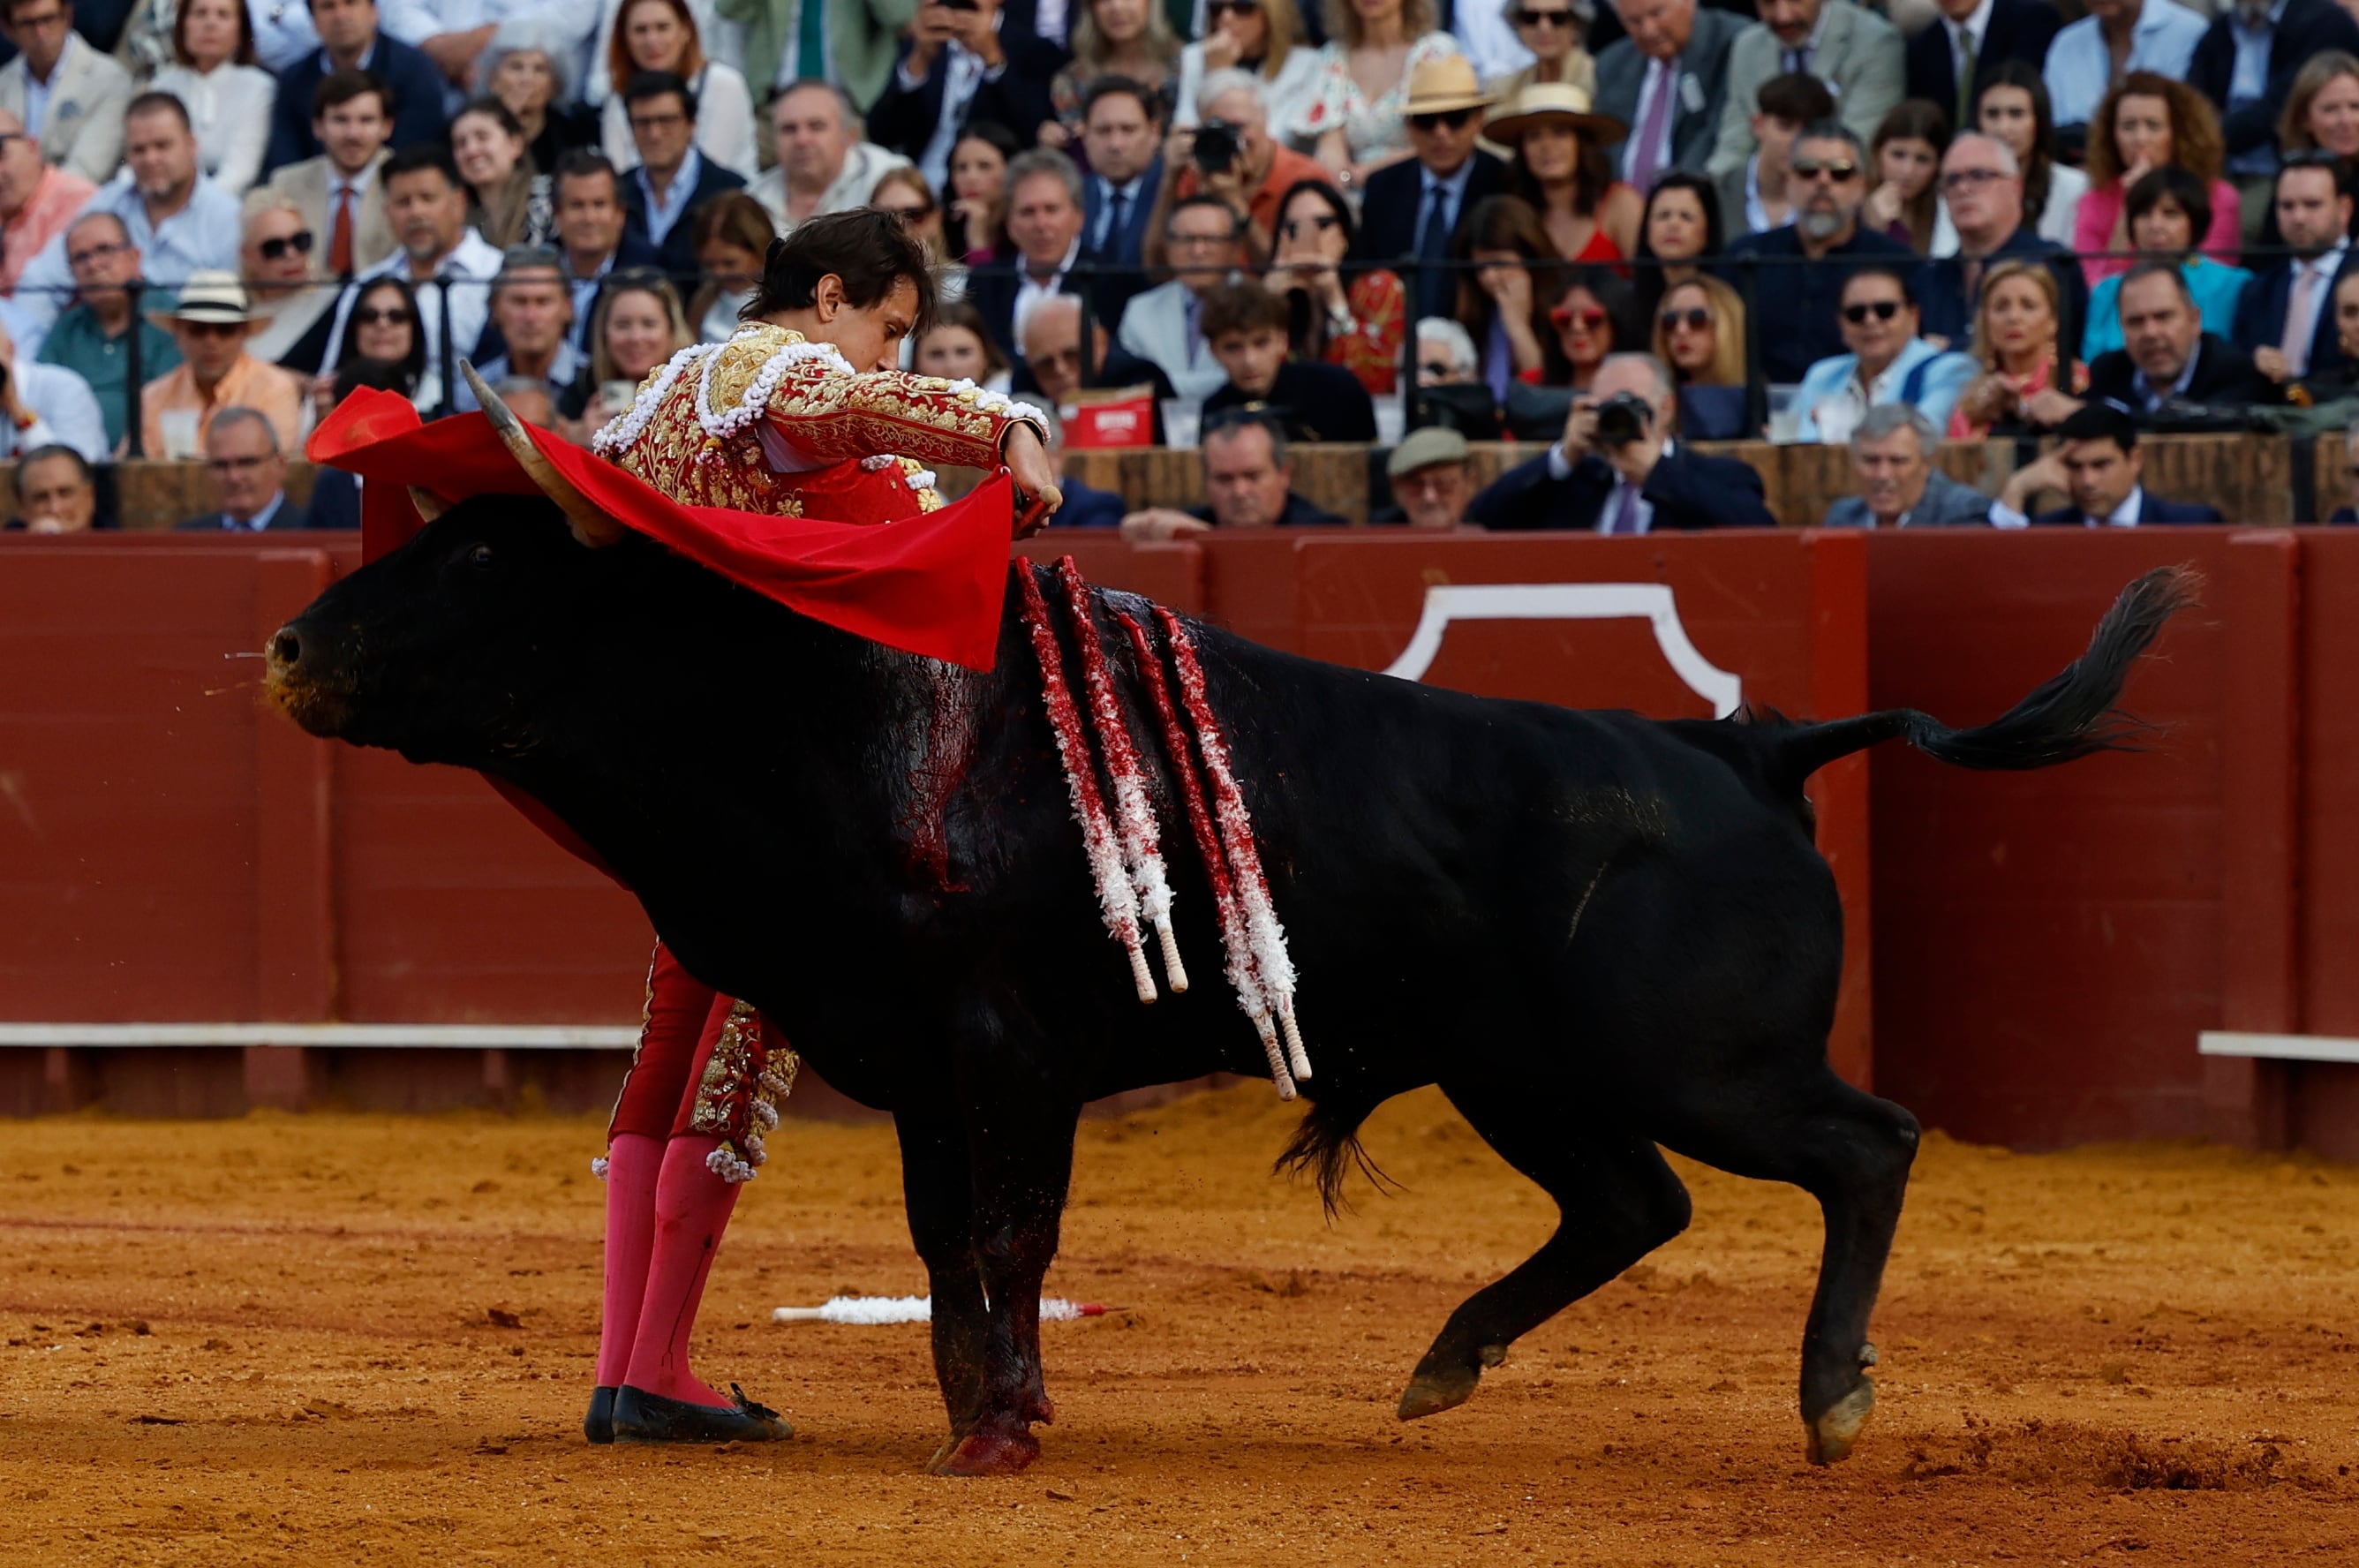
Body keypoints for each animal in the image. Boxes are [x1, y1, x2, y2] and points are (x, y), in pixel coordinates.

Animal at [262, 504, 2189, 1481]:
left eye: (481, 561)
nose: (285, 645)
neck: (832, 716)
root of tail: (1748, 746)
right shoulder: (927, 1063)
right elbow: (947, 1244)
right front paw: (984, 1406)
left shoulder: (999, 1048)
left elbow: (1000, 1235)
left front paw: (996, 1432)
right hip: (1525, 1075)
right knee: (1630, 1206)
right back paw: (1442, 1367)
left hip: (1694, 1063)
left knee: (1864, 1146)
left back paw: (1829, 1401)